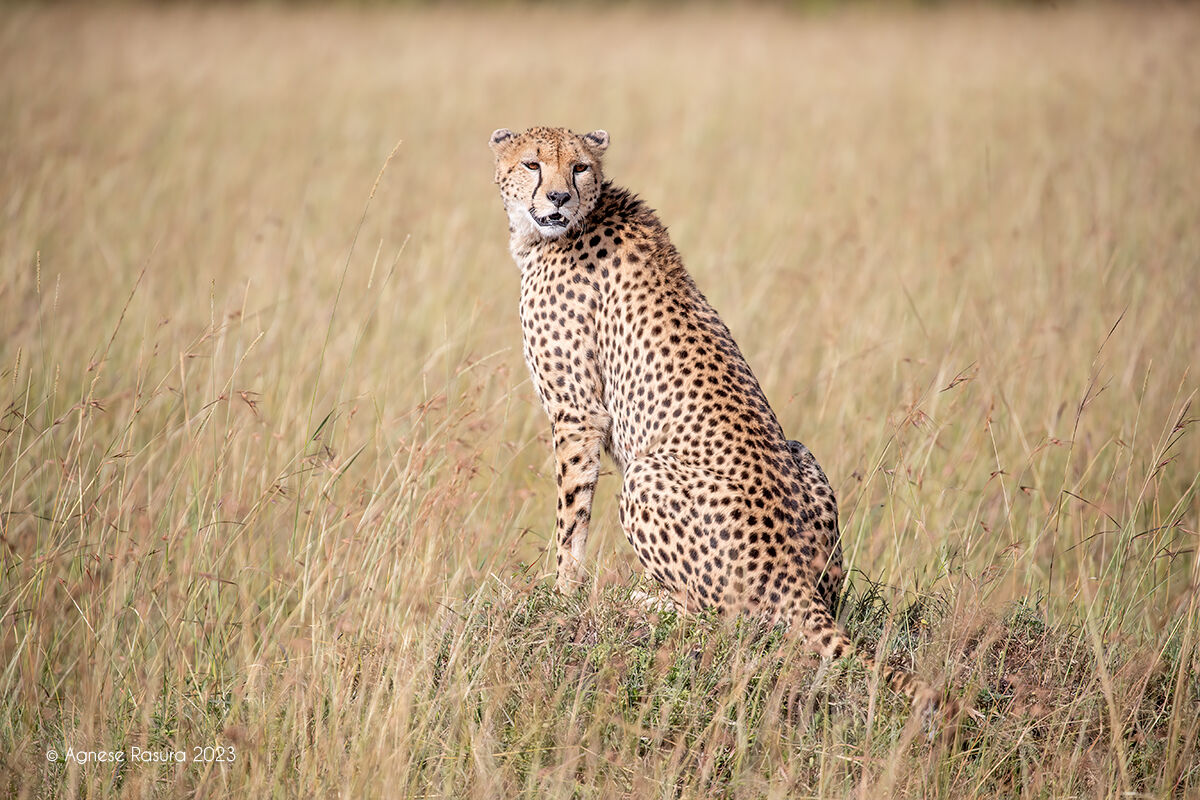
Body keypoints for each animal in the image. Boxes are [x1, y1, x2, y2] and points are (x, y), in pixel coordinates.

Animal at [488, 125, 944, 715]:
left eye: (580, 167)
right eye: (532, 164)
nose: (560, 198)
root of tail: (796, 577)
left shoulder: (576, 413)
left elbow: (572, 516)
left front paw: (561, 591)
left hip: (647, 474)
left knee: (721, 619)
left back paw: (646, 602)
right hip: (802, 460)